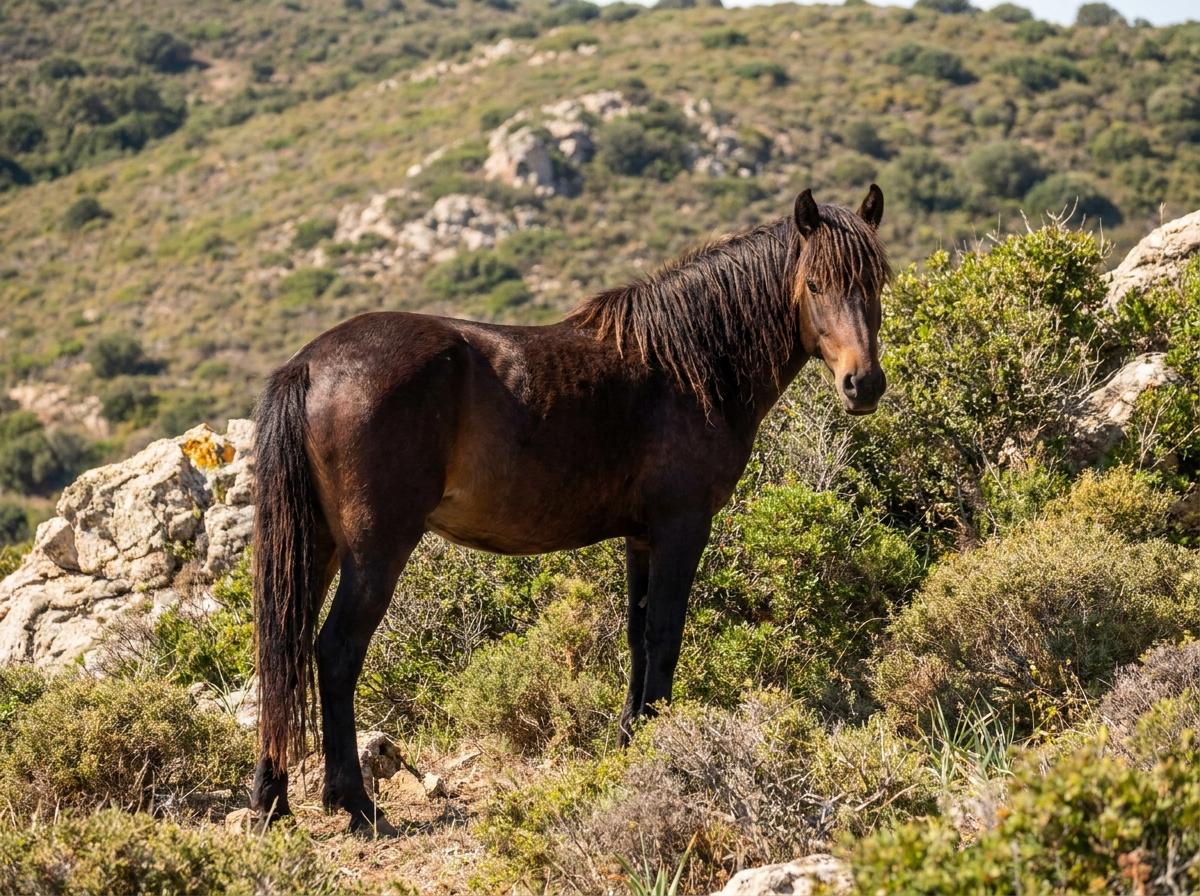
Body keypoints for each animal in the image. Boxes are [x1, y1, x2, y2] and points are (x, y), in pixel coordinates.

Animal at [250, 185, 890, 834]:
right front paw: (659, 743)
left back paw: (270, 803)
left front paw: (632, 733)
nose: (863, 385)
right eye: (816, 284)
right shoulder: (682, 528)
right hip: (375, 549)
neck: (689, 366)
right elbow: (666, 632)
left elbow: (638, 633)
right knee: (334, 652)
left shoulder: (642, 537)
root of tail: (309, 365)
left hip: (319, 546)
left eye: (876, 283)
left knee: (281, 652)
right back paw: (353, 802)